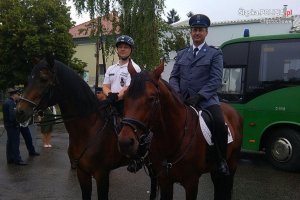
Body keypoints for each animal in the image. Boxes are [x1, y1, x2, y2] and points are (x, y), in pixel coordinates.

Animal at [14, 57, 157, 199]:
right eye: (29, 79)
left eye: (43, 79)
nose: (19, 111)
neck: (89, 128)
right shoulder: (82, 172)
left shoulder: (101, 174)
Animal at [117, 61, 244, 199]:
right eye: (125, 96)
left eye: (152, 98)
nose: (125, 142)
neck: (172, 139)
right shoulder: (164, 180)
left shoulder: (191, 183)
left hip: (232, 164)